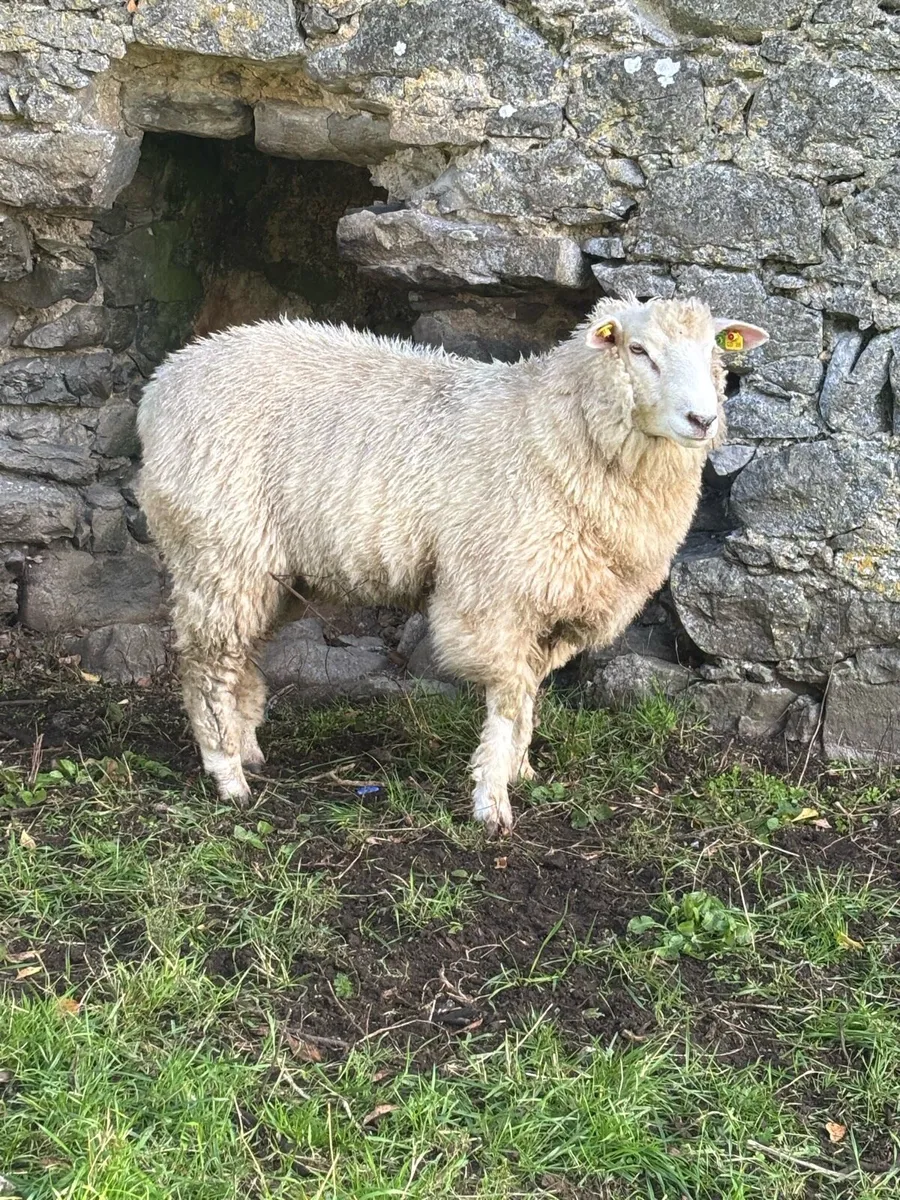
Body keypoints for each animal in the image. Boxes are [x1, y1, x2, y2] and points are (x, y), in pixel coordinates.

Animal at [136, 296, 768, 833]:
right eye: (638, 350)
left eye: (715, 351)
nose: (703, 420)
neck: (557, 431)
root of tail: (165, 382)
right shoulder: (495, 593)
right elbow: (509, 700)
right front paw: (492, 802)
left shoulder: (557, 601)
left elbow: (531, 693)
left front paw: (520, 771)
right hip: (219, 549)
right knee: (207, 665)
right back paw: (227, 775)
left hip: (269, 570)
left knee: (239, 655)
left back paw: (248, 749)